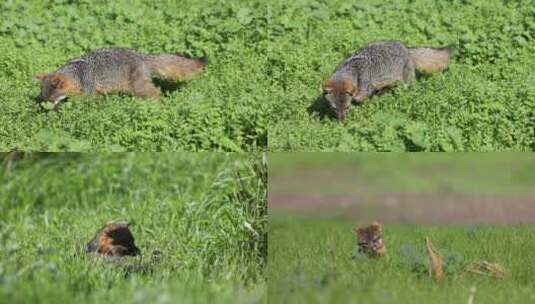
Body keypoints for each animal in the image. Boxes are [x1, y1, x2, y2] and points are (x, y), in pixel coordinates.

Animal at [35, 47, 207, 105]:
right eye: (43, 97)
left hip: (139, 87)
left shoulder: (89, 93)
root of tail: (141, 56)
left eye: (50, 98)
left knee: (155, 93)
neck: (77, 73)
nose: (44, 107)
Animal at [324, 40, 454, 120]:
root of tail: (407, 49)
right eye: (335, 108)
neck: (353, 70)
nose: (342, 122)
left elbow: (358, 98)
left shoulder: (364, 90)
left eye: (347, 108)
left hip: (404, 84)